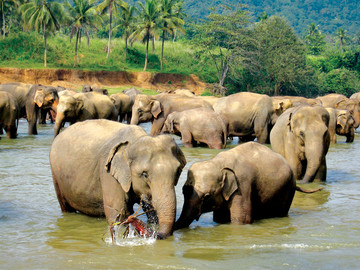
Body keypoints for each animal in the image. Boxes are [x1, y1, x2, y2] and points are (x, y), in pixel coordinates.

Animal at [50, 119, 186, 239]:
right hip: (55, 174)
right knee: (65, 206)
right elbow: (117, 215)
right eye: (145, 174)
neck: (135, 141)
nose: (156, 233)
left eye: (177, 171)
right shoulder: (108, 173)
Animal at [175, 141, 320, 230]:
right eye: (183, 191)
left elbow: (241, 220)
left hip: (288, 190)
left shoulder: (243, 186)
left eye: (206, 196)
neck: (218, 163)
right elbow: (220, 218)